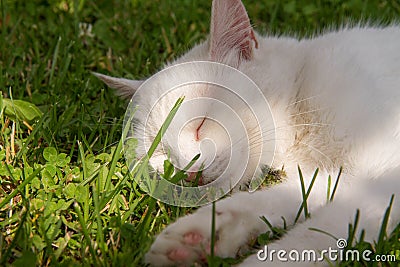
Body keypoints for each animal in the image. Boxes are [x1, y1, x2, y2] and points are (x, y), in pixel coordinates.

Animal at [96, 0, 400, 266]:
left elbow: (321, 230)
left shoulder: (383, 174)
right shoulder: (334, 176)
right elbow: (292, 196)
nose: (189, 174)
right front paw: (204, 234)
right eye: (160, 155)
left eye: (200, 123)